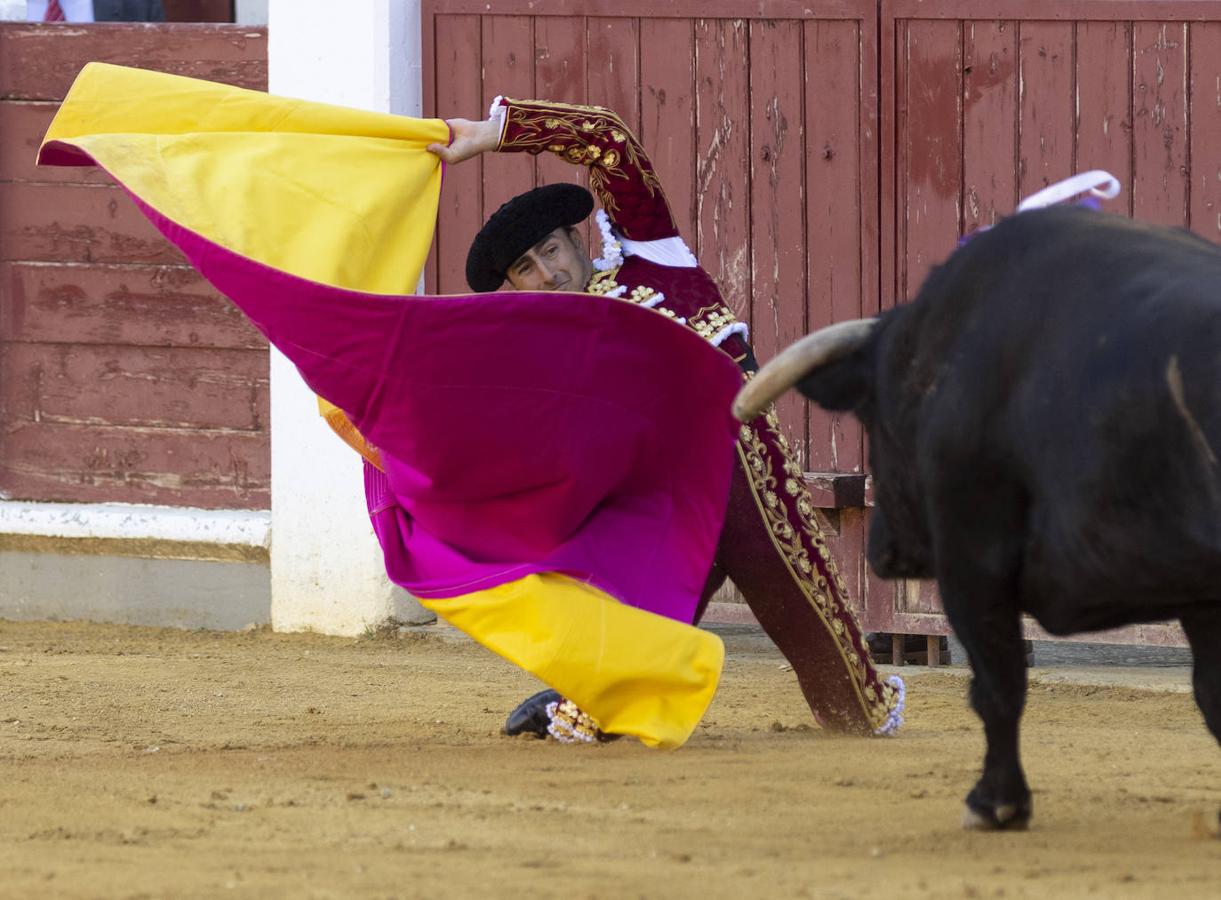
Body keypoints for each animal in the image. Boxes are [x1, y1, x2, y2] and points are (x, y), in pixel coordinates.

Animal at [732, 205, 1221, 830]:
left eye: (875, 416)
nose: (884, 550)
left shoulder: (972, 557)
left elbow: (997, 683)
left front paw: (995, 802)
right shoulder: (1199, 595)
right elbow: (1211, 692)